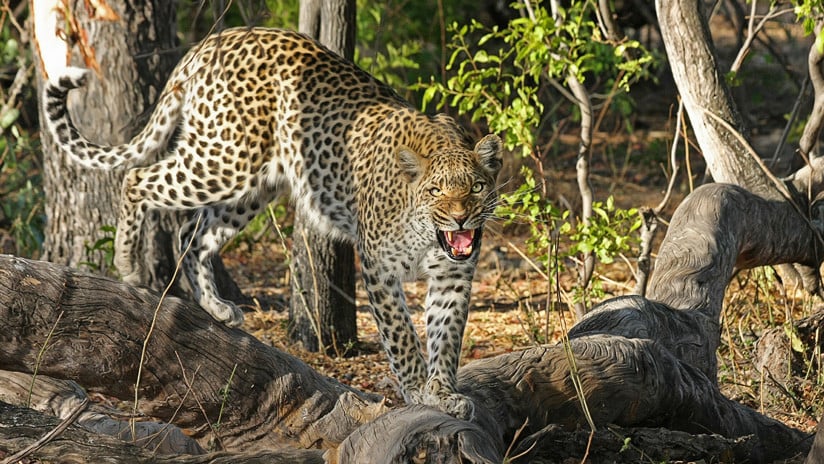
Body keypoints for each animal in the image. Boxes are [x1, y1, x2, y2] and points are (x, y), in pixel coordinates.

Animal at [43, 26, 502, 420]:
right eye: (436, 191)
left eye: (477, 187)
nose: (460, 217)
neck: (429, 235)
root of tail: (212, 41)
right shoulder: (378, 267)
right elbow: (402, 336)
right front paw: (418, 390)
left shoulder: (453, 276)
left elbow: (447, 337)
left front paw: (443, 393)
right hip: (224, 159)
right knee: (137, 178)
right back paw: (129, 264)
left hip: (253, 186)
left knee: (192, 233)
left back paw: (216, 307)